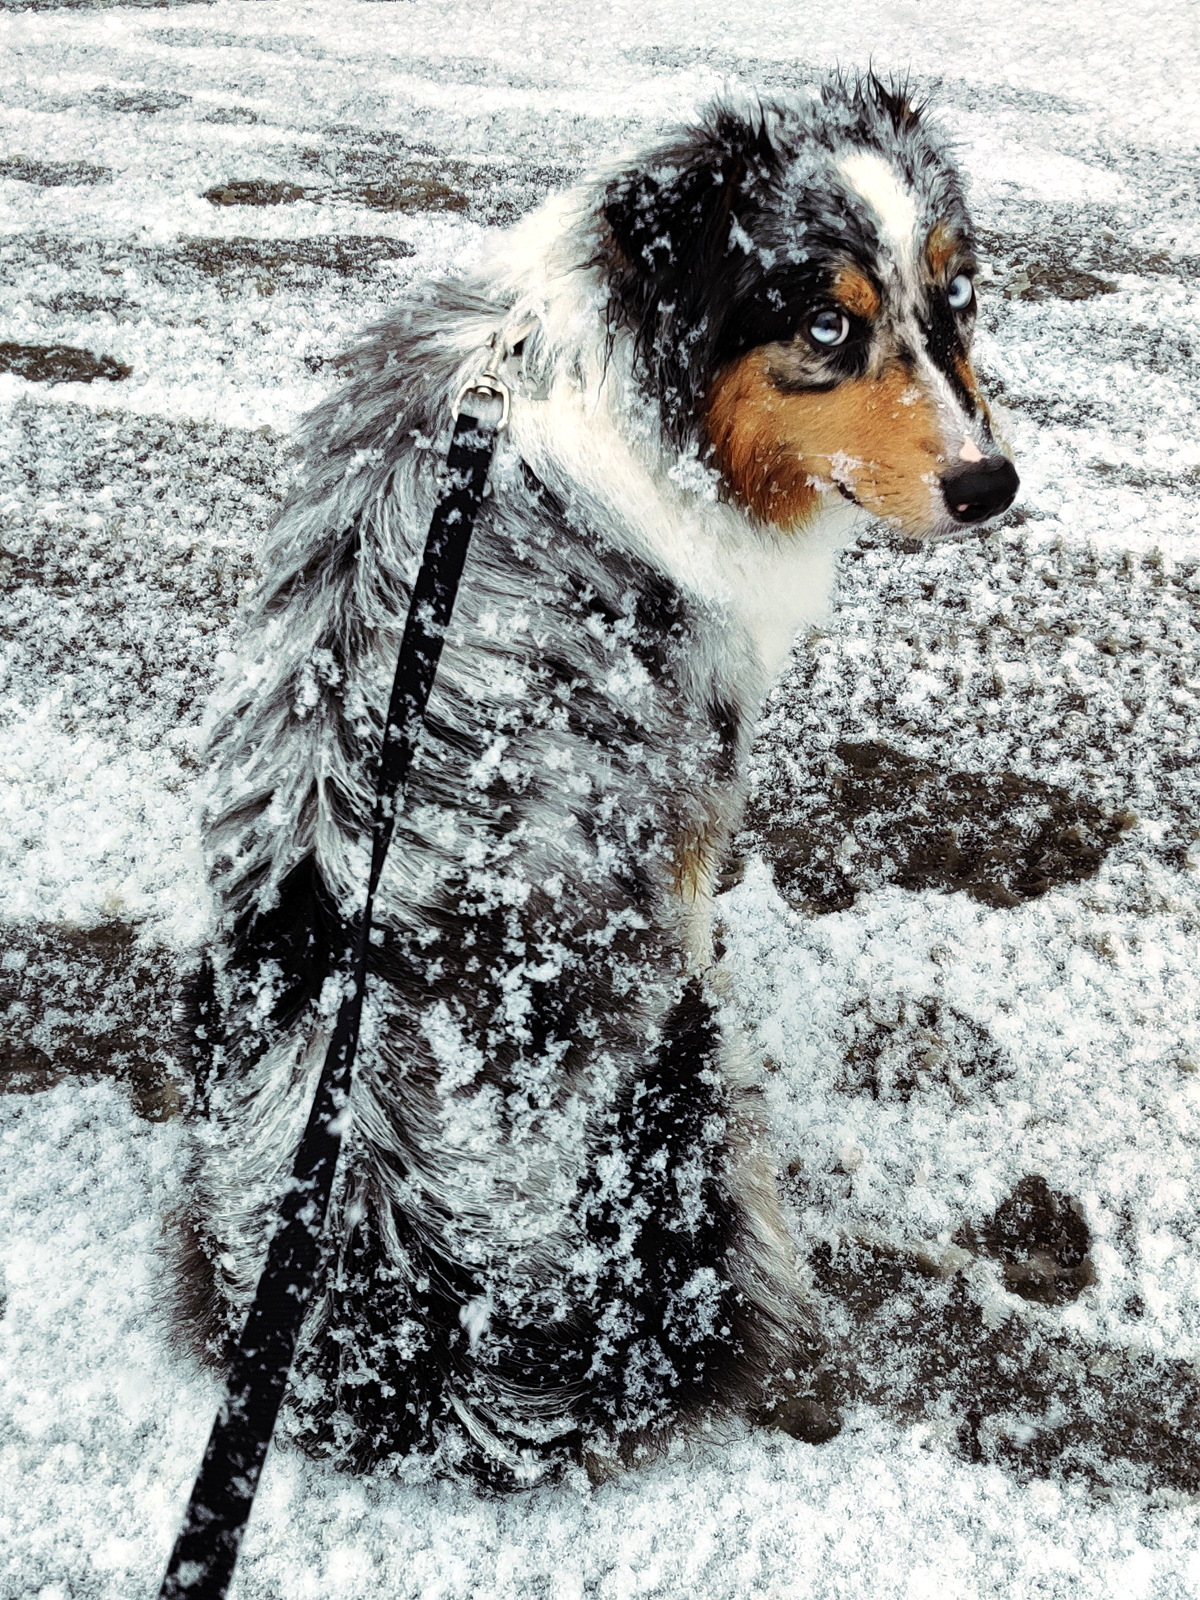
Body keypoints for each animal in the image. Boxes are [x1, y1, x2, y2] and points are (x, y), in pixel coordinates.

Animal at [176, 75, 1024, 1484]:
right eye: (827, 325)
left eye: (952, 298)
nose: (992, 482)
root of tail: (415, 1322)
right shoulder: (694, 753)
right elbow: (690, 899)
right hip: (681, 1081)